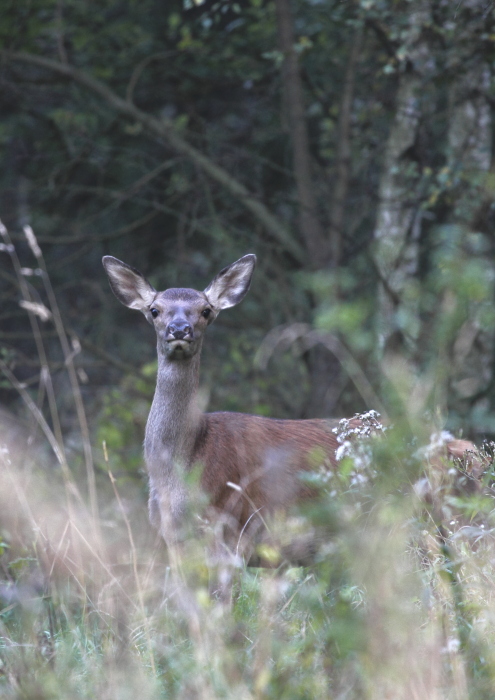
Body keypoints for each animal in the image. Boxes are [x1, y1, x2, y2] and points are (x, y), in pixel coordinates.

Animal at [102, 254, 486, 568]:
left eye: (206, 310)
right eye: (154, 309)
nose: (179, 329)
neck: (181, 466)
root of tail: (472, 453)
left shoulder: (232, 527)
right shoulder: (174, 540)